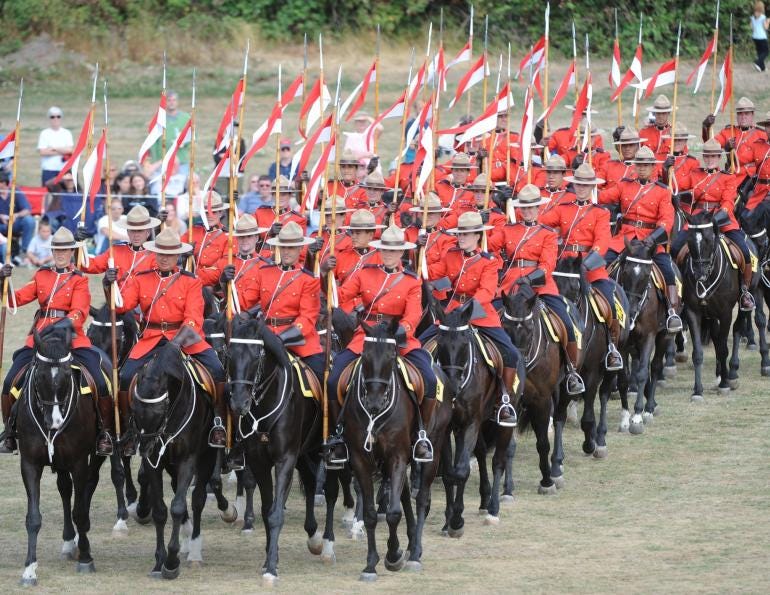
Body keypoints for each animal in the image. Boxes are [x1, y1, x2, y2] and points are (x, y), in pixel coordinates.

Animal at [15, 322, 100, 588]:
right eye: (40, 375)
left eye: (66, 376)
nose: (54, 423)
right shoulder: (29, 463)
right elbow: (33, 517)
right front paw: (29, 570)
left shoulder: (79, 462)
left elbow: (80, 510)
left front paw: (86, 557)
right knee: (64, 490)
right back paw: (68, 541)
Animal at [130, 338, 234, 580]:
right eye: (135, 410)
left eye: (159, 410)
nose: (145, 447)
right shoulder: (154, 464)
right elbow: (160, 510)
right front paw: (159, 561)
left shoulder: (188, 460)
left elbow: (178, 506)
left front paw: (171, 561)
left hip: (205, 458)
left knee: (197, 499)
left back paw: (194, 548)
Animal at [224, 314, 328, 584]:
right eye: (230, 355)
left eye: (256, 355)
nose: (239, 403)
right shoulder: (258, 461)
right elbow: (267, 509)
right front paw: (271, 558)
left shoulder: (285, 459)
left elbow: (275, 514)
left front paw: (271, 567)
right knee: (309, 482)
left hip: (311, 450)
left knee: (318, 484)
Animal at [680, 212, 740, 402]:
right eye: (690, 240)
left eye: (708, 240)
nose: (699, 274)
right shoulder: (693, 312)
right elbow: (698, 353)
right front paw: (697, 391)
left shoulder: (726, 313)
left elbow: (722, 348)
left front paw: (725, 384)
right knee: (715, 335)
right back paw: (720, 374)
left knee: (738, 328)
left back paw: (731, 374)